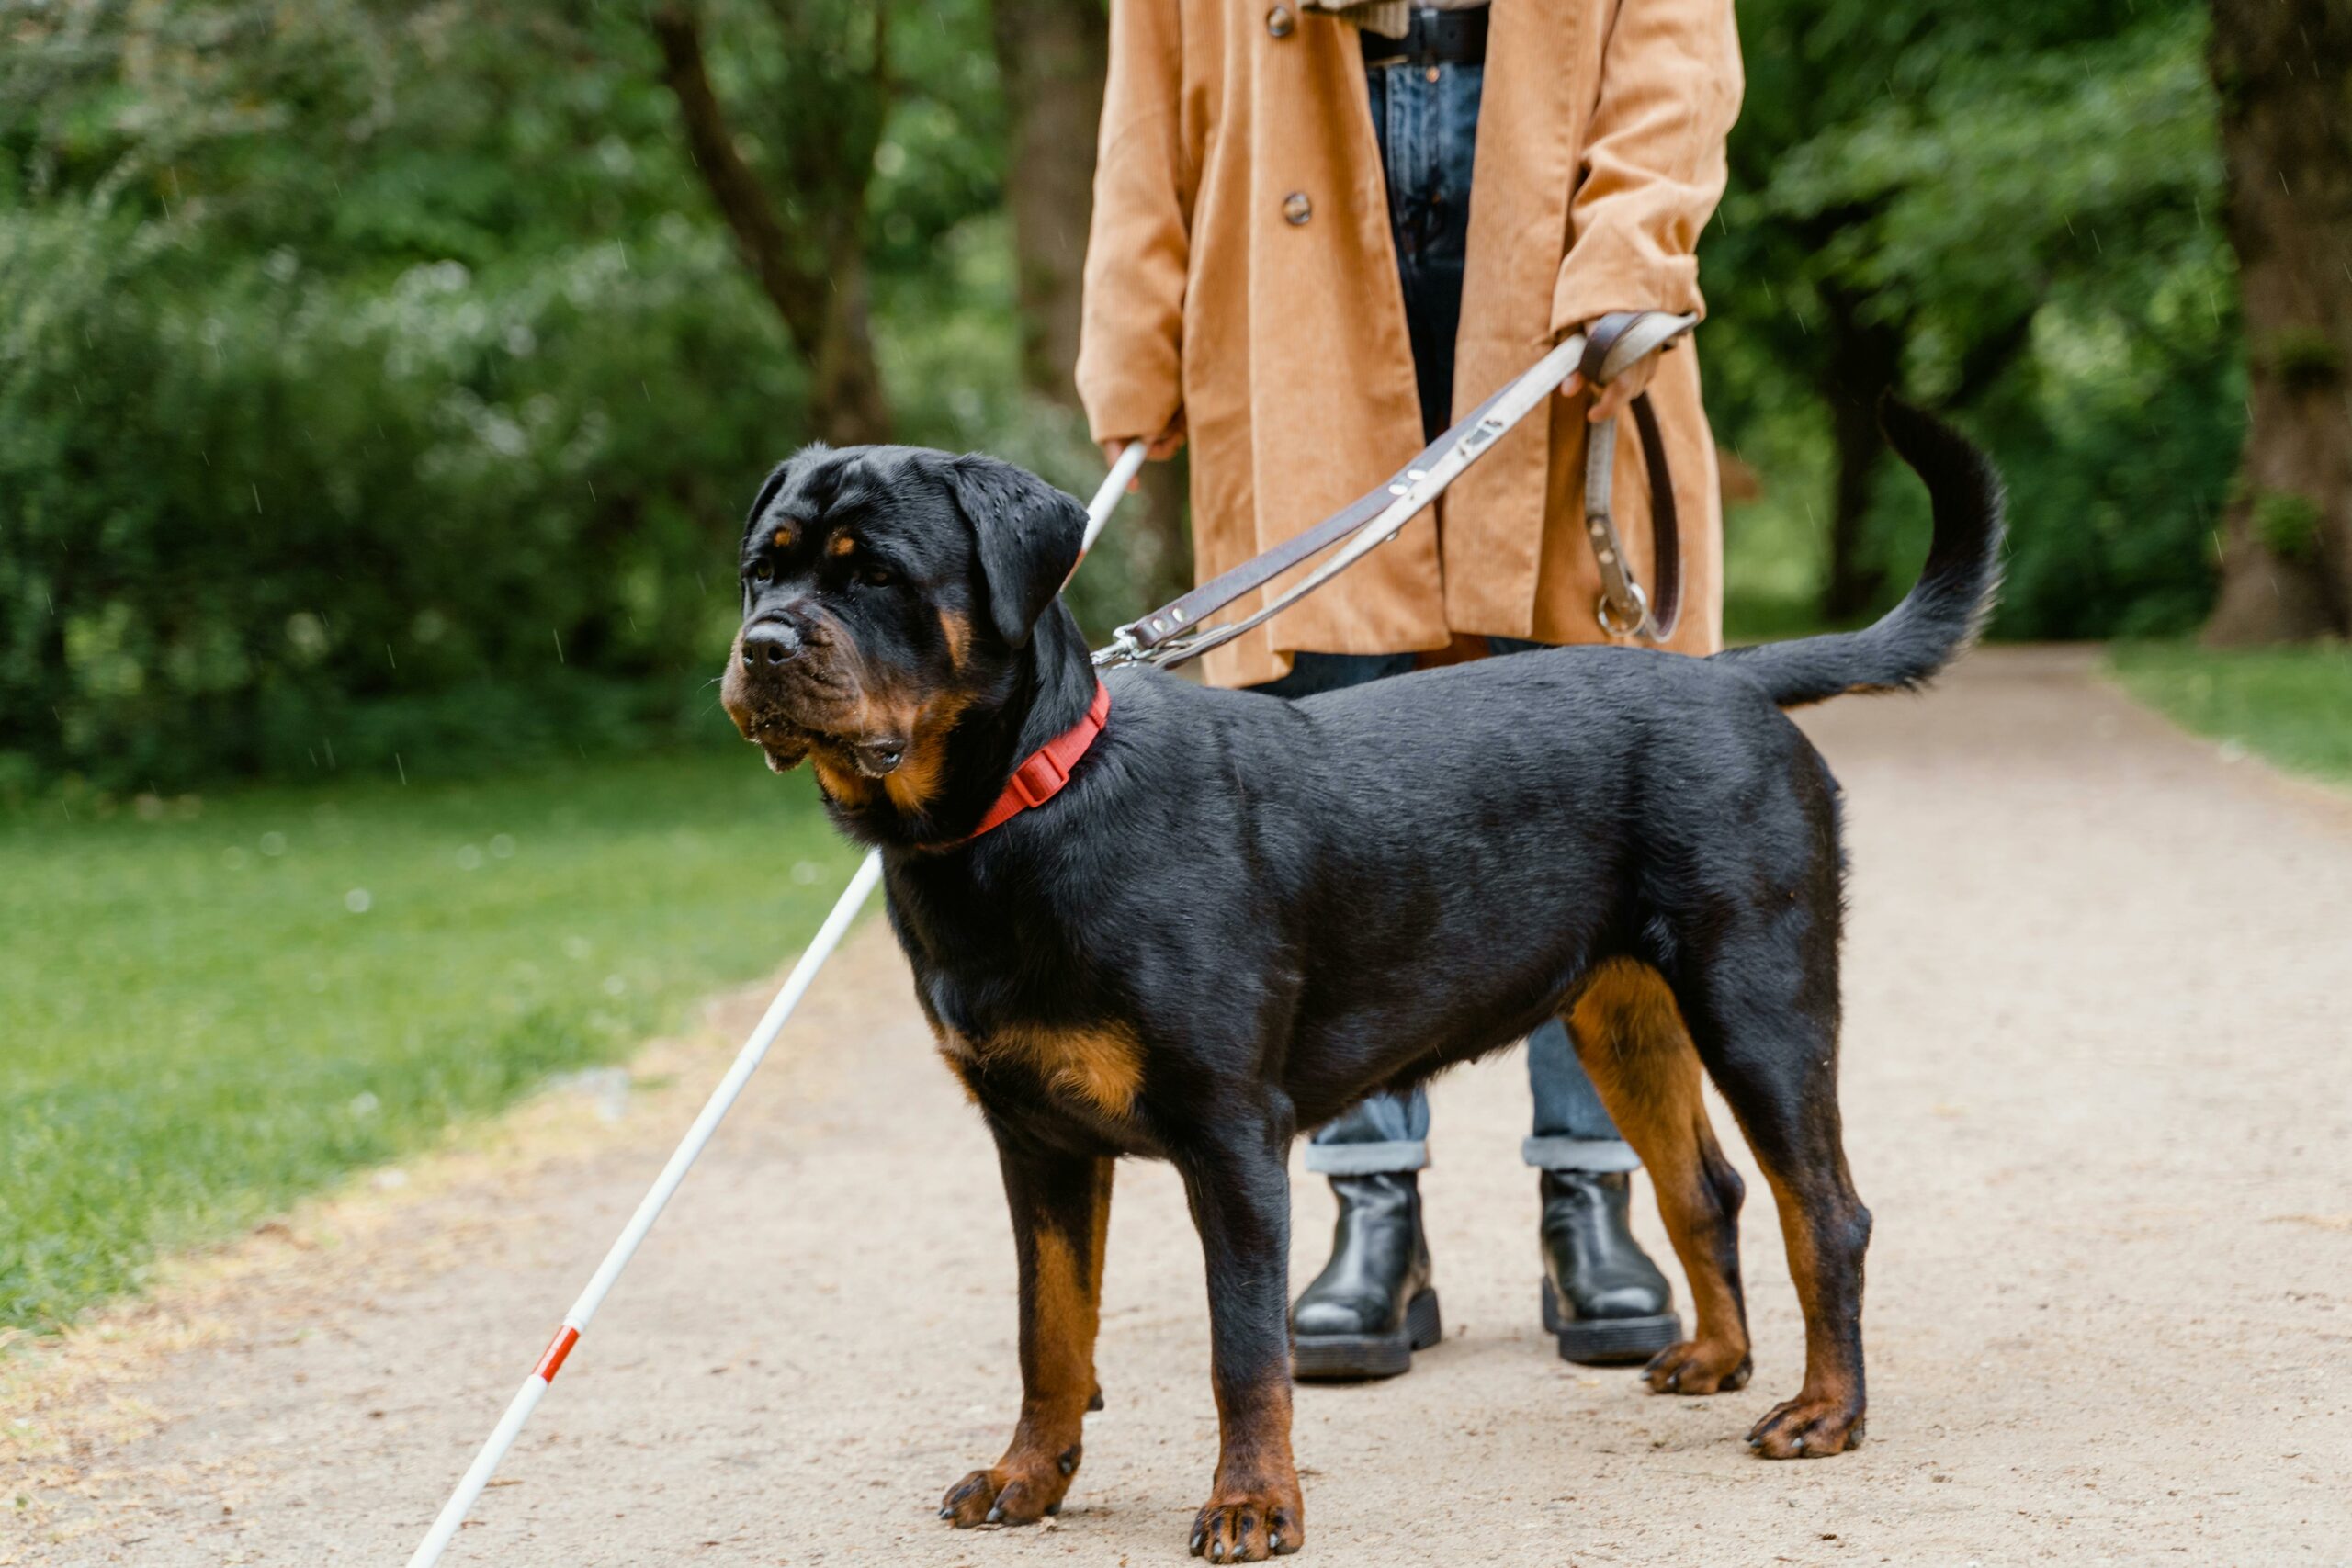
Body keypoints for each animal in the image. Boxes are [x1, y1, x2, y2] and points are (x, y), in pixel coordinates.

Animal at [715, 401, 2004, 1561]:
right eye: (759, 571)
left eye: (876, 575)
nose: (763, 647)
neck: (1025, 810)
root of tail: (1734, 680)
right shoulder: (1035, 1140)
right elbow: (1050, 1331)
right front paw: (1027, 1477)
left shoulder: (1230, 1137)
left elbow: (1244, 1352)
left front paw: (1251, 1506)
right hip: (1625, 1019)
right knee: (1709, 1190)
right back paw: (1716, 1359)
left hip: (1760, 1002)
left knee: (1824, 1212)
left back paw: (1825, 1410)